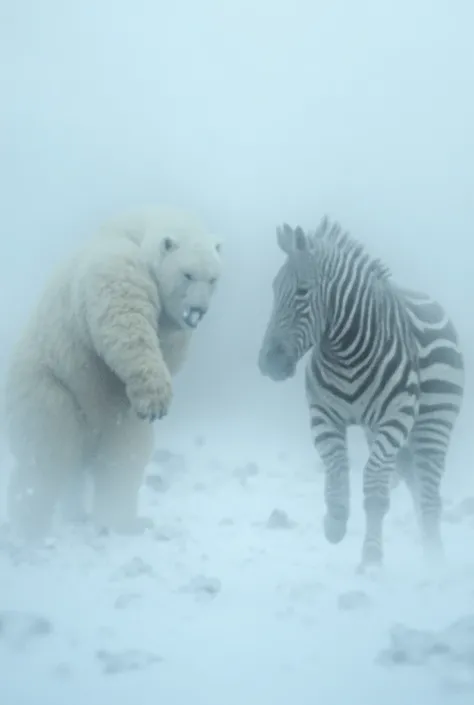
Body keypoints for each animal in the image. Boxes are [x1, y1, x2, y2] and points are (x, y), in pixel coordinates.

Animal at [4, 204, 222, 540]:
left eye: (213, 279)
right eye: (188, 274)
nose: (198, 311)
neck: (139, 230)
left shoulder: (171, 327)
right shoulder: (118, 265)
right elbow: (126, 321)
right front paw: (156, 397)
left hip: (111, 417)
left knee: (124, 456)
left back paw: (120, 521)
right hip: (50, 384)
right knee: (46, 455)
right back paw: (29, 530)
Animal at [258, 216, 464, 572]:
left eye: (302, 292)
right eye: (272, 289)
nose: (267, 363)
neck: (346, 352)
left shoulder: (393, 419)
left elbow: (374, 486)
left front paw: (371, 559)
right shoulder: (323, 415)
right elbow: (337, 466)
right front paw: (335, 522)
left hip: (433, 423)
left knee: (429, 486)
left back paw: (435, 558)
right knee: (413, 478)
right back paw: (428, 547)